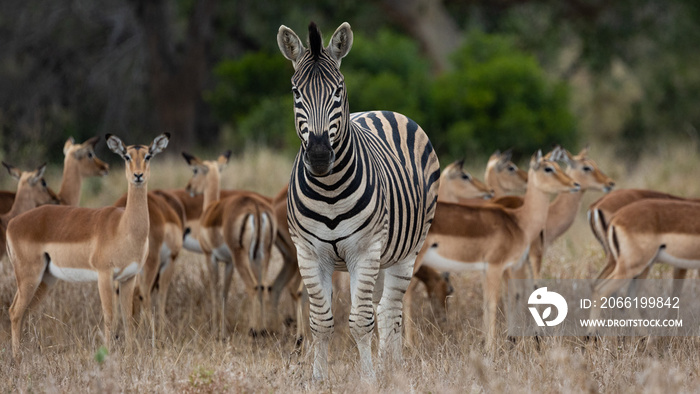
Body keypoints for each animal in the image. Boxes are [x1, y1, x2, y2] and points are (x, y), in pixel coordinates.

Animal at [278, 22, 438, 382]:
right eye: (296, 92)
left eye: (338, 90)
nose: (319, 155)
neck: (329, 190)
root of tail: (383, 111)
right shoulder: (308, 253)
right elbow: (321, 322)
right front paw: (318, 379)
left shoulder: (364, 250)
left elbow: (361, 321)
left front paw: (369, 379)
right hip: (377, 254)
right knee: (380, 307)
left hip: (406, 250)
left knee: (389, 309)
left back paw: (392, 369)